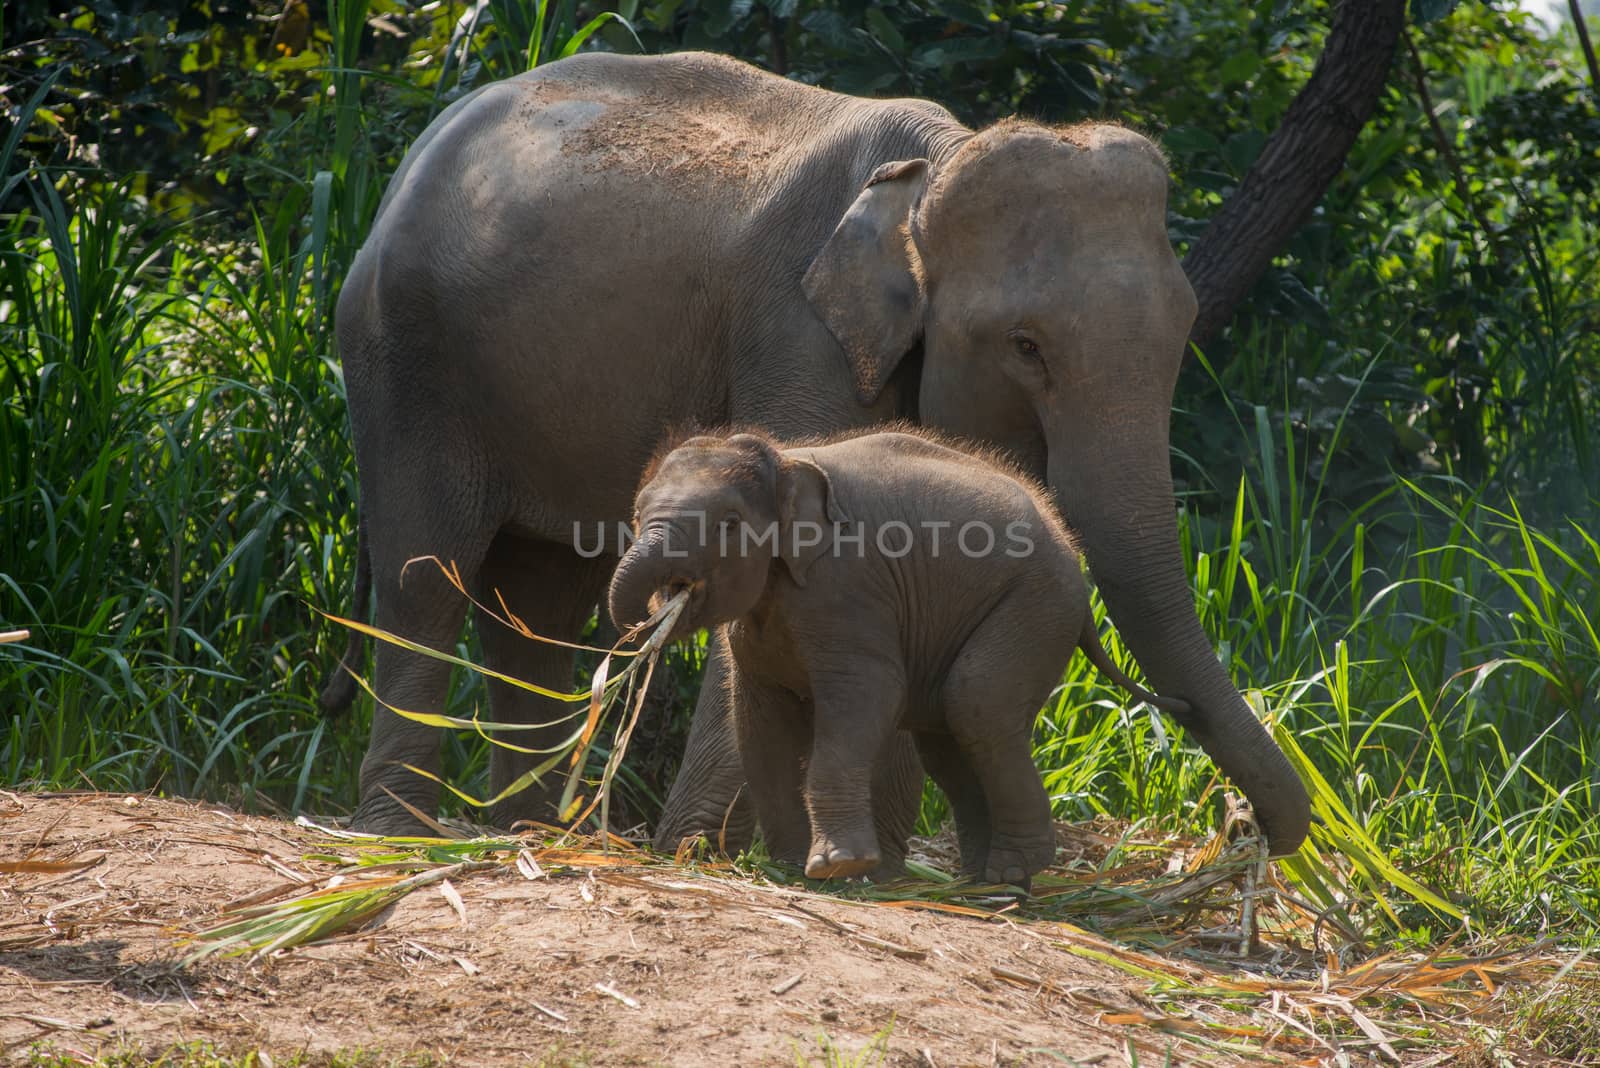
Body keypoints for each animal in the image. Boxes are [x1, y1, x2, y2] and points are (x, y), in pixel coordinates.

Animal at [611, 425, 1190, 882]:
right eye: (635, 512)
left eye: (729, 522)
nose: (641, 623)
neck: (784, 458)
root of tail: (1070, 549)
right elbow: (759, 718)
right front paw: (792, 866)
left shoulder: (848, 589)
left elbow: (869, 695)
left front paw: (837, 866)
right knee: (948, 736)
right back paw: (982, 884)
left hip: (1036, 607)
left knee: (976, 703)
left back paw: (1013, 872)